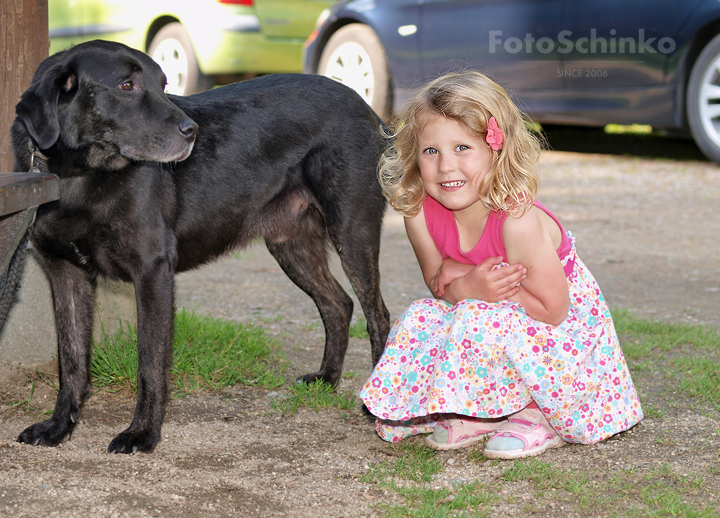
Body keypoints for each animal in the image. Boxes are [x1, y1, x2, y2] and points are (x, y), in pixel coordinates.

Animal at [9, 40, 388, 456]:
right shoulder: (65, 273)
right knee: (338, 304)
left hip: (352, 230)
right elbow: (72, 358)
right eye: (126, 85)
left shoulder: (153, 271)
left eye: (162, 84)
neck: (81, 177)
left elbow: (150, 361)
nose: (192, 131)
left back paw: (378, 409)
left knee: (377, 315)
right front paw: (59, 427)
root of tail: (369, 109)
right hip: (291, 246)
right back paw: (327, 378)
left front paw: (142, 433)